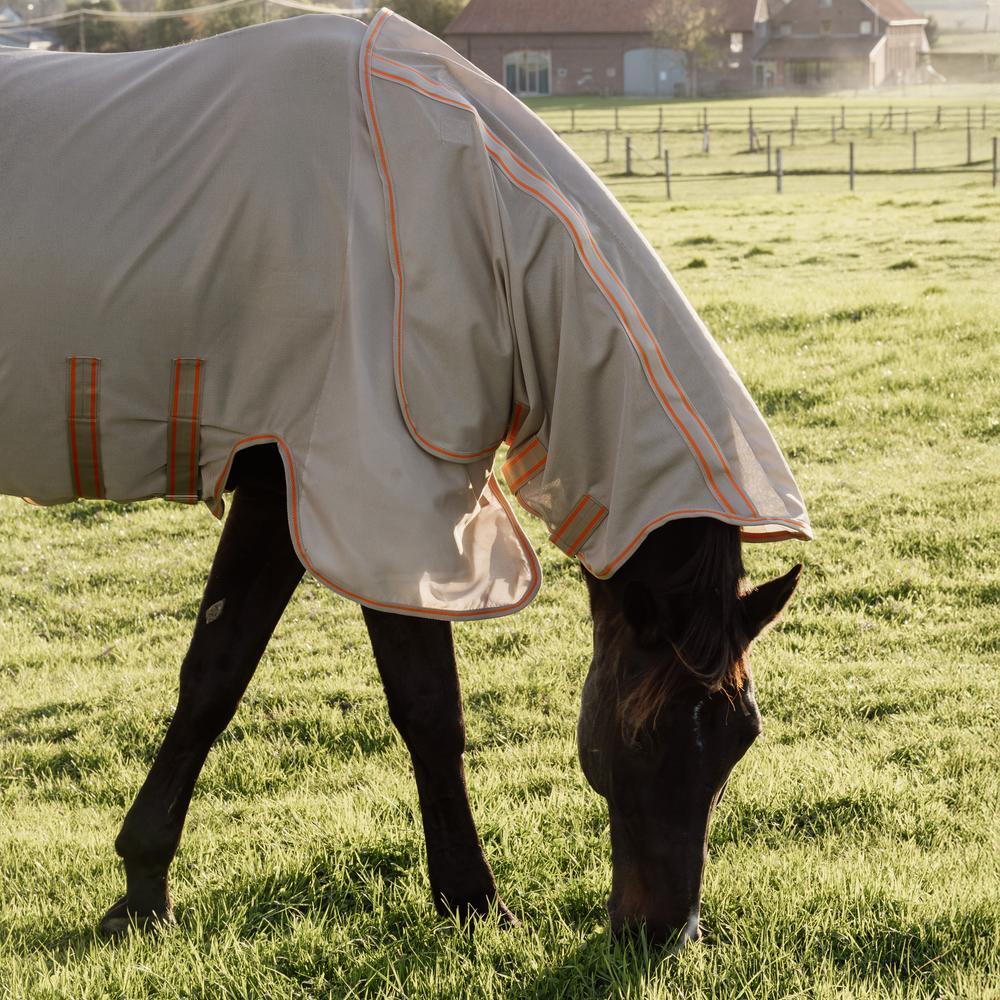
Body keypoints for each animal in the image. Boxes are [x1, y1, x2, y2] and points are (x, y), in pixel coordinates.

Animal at [1, 10, 809, 946]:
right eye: (643, 736)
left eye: (741, 736)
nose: (666, 936)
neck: (446, 197)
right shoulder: (349, 496)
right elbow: (392, 704)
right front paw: (474, 899)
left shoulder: (326, 499)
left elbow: (226, 678)